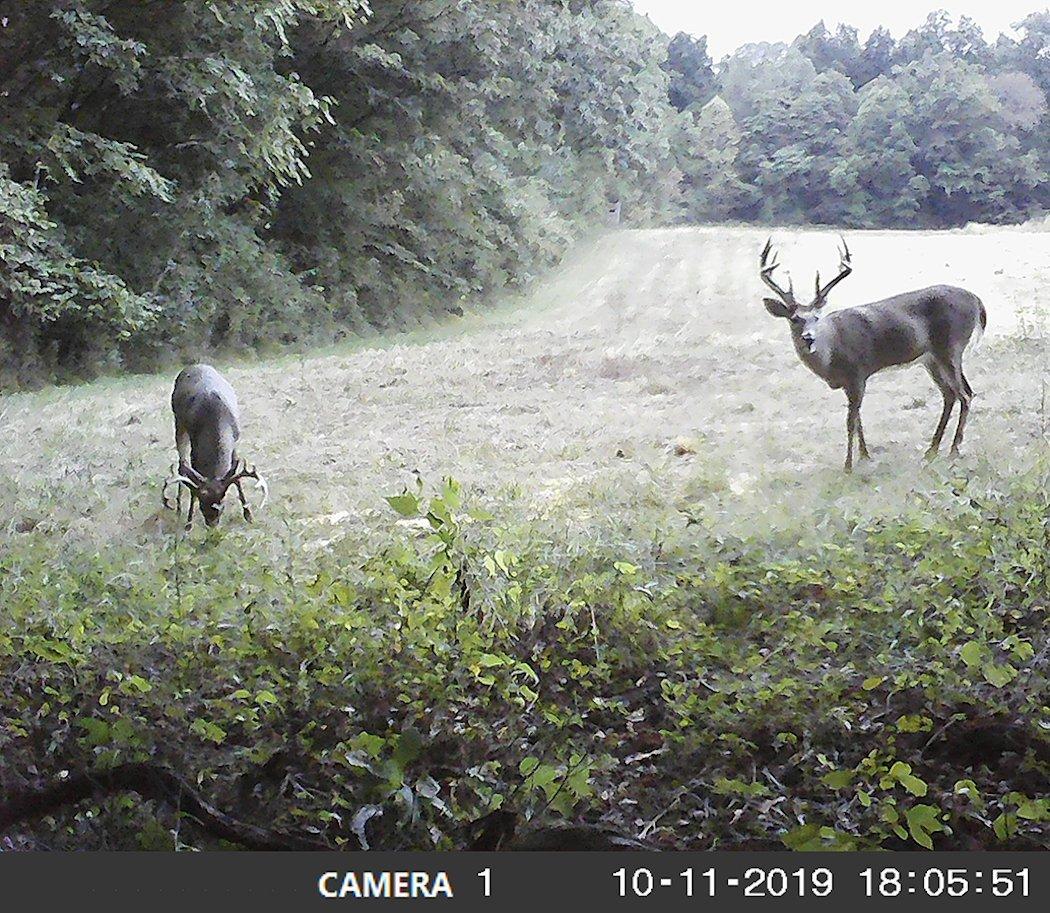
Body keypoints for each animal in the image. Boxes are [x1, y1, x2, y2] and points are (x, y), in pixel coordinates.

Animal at [161, 364, 268, 528]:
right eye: (201, 502)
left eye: (221, 500)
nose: (212, 523)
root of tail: (194, 365)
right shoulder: (195, 444)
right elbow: (192, 478)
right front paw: (189, 522)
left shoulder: (234, 441)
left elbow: (236, 477)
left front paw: (248, 514)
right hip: (179, 423)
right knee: (181, 463)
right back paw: (178, 507)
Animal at [759, 238, 986, 472]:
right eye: (794, 319)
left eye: (816, 317)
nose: (808, 338)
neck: (830, 355)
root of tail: (977, 301)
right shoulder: (849, 383)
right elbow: (858, 418)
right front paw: (865, 455)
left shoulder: (858, 373)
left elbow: (851, 421)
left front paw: (848, 466)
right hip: (931, 359)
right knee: (951, 394)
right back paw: (931, 451)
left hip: (951, 347)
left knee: (964, 394)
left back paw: (953, 450)